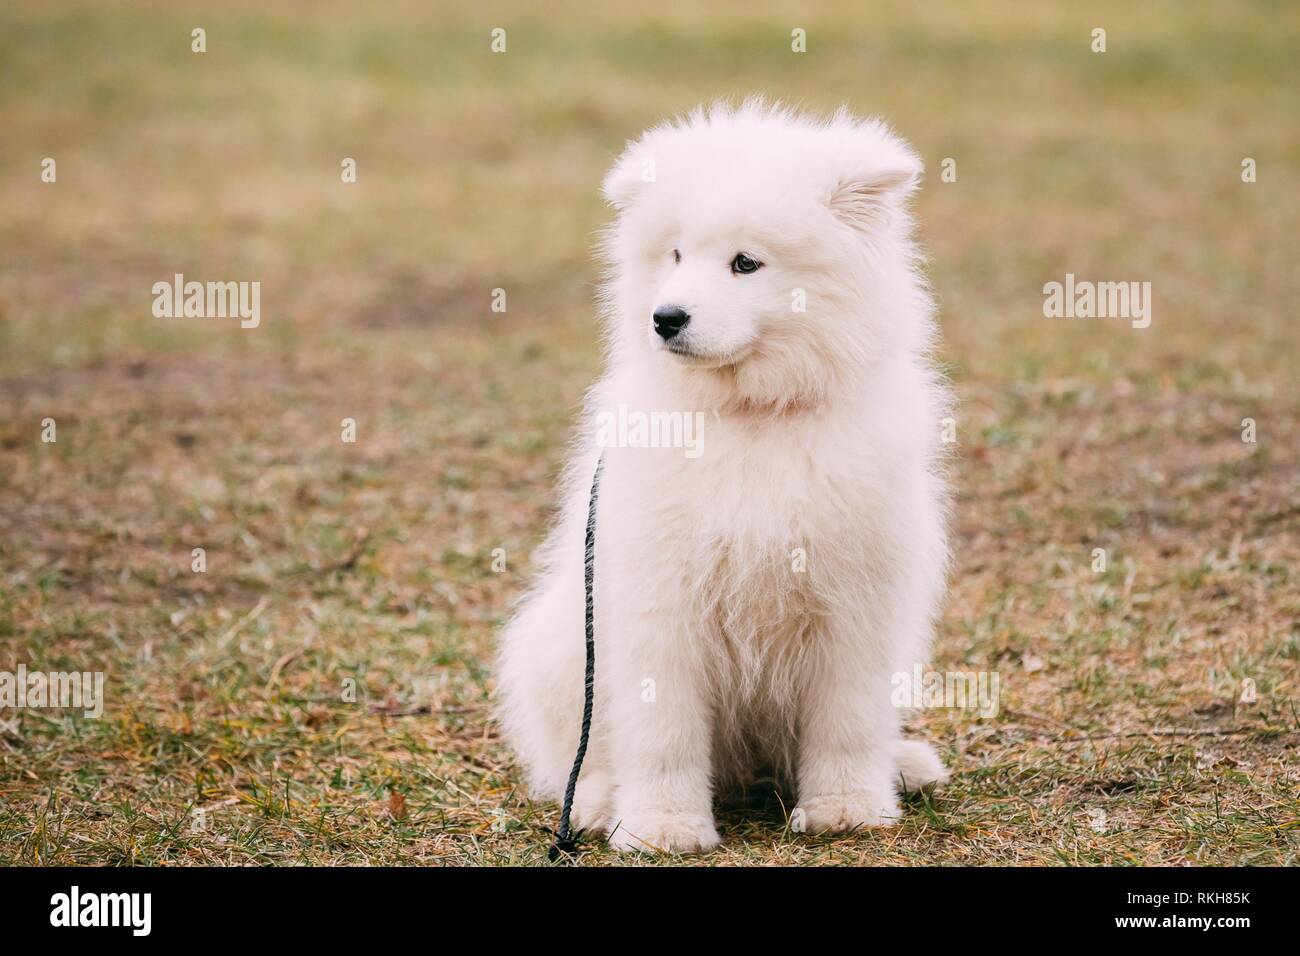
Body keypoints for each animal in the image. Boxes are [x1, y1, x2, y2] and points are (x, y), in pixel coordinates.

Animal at [491, 100, 951, 858]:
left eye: (746, 263)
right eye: (674, 255)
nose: (665, 318)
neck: (750, 416)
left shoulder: (856, 598)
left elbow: (847, 723)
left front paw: (847, 809)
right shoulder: (661, 601)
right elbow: (663, 735)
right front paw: (661, 828)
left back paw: (905, 766)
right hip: (562, 645)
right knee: (577, 759)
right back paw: (594, 805)